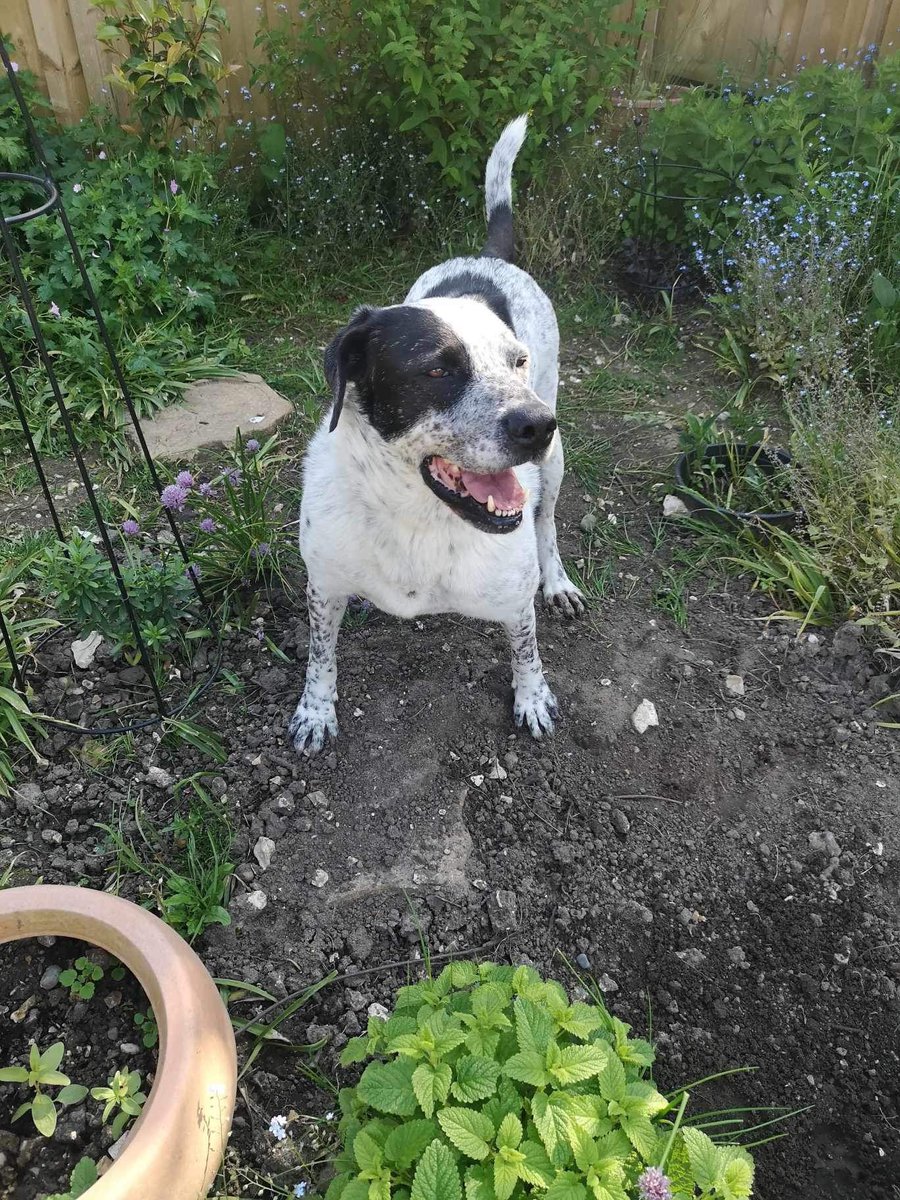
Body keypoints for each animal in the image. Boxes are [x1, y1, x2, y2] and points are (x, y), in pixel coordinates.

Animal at [289, 110, 585, 748]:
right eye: (436, 369)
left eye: (516, 362)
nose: (538, 426)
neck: (417, 518)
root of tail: (486, 256)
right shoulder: (323, 583)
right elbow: (320, 655)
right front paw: (315, 711)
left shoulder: (513, 598)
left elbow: (526, 649)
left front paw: (532, 698)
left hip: (556, 463)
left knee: (548, 524)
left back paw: (558, 582)